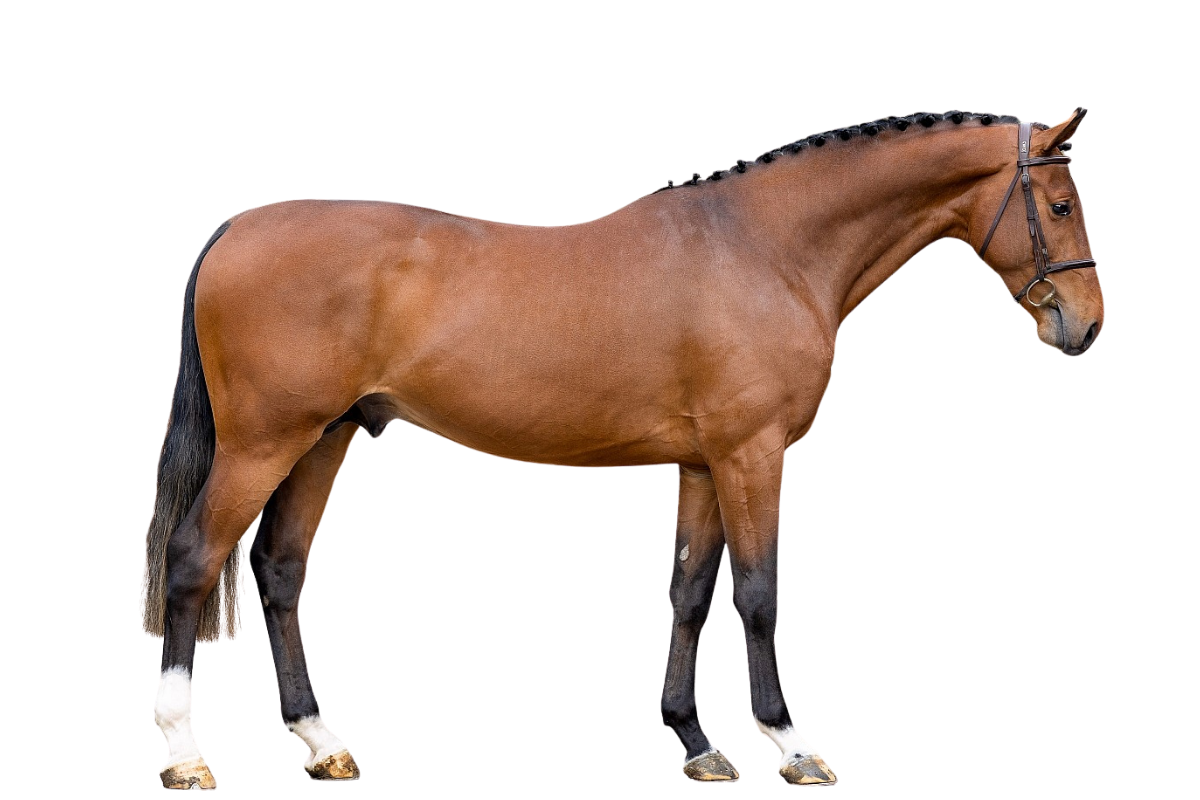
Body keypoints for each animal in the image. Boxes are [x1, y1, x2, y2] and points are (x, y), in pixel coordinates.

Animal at [141, 108, 1102, 789]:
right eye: (1059, 205)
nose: (1085, 326)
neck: (763, 247)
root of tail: (237, 228)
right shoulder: (753, 455)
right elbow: (758, 593)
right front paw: (791, 744)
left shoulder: (705, 463)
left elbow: (689, 593)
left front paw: (697, 742)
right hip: (264, 443)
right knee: (193, 560)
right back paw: (186, 754)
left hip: (325, 440)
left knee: (280, 572)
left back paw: (322, 741)